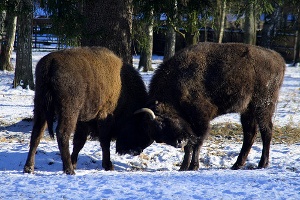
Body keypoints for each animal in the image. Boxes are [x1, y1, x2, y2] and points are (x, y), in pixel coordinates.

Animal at [23, 47, 152, 175]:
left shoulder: (83, 121)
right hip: (68, 112)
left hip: (40, 107)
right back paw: (69, 170)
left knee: (36, 134)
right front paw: (108, 165)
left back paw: (29, 168)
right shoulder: (104, 116)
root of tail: (50, 63)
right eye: (138, 126)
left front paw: (74, 163)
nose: (136, 151)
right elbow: (104, 141)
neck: (122, 86)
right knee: (62, 134)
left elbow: (79, 142)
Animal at [137, 41, 286, 170]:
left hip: (263, 107)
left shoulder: (201, 120)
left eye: (162, 122)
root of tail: (278, 59)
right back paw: (237, 165)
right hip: (247, 110)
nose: (179, 142)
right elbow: (190, 146)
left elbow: (197, 143)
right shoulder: (190, 126)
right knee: (250, 134)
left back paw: (262, 163)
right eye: (157, 136)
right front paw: (183, 167)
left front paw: (193, 166)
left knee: (266, 131)